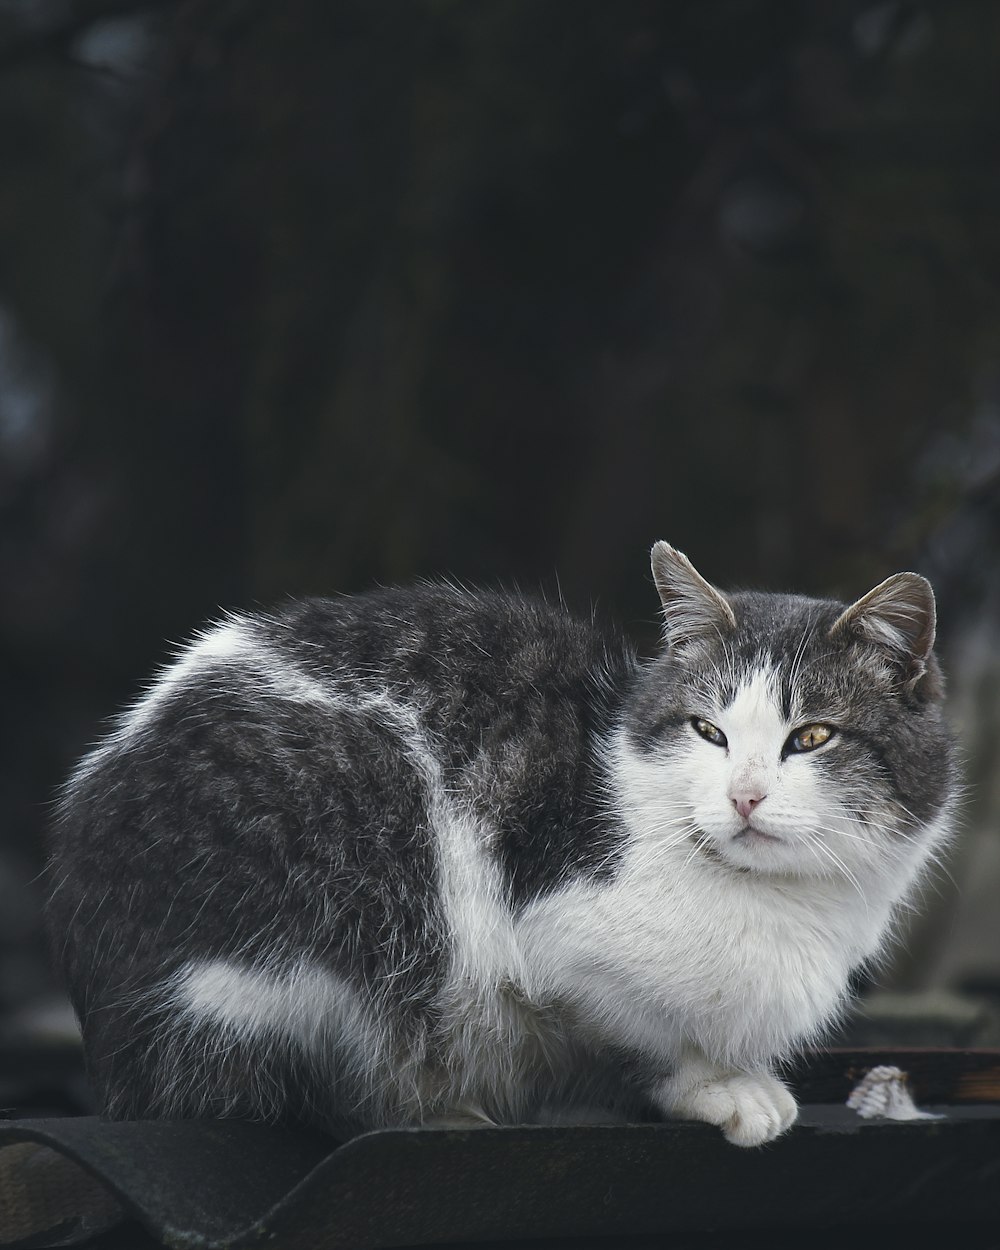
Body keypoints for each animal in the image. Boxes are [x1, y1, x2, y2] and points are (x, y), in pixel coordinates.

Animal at [48, 542, 960, 1145]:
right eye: (709, 731)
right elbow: (639, 1033)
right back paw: (437, 1111)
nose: (743, 795)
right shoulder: (560, 943)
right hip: (352, 882)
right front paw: (717, 1086)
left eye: (813, 736)